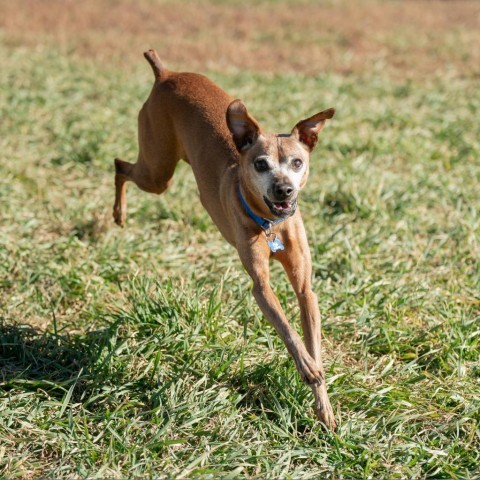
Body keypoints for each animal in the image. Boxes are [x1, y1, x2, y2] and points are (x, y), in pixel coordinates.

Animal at [113, 50, 338, 430]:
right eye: (260, 164)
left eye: (297, 162)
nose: (284, 189)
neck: (271, 225)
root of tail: (166, 74)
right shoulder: (261, 286)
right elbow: (287, 329)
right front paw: (307, 368)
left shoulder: (306, 288)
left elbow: (312, 337)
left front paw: (325, 409)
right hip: (158, 172)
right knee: (119, 166)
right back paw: (119, 214)